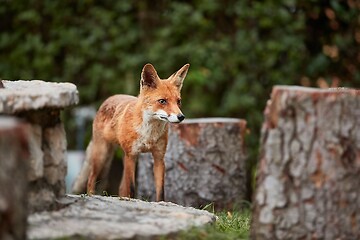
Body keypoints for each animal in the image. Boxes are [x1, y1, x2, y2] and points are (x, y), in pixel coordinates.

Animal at [71, 62, 190, 202]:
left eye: (178, 101)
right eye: (162, 101)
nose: (181, 117)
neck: (148, 134)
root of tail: (109, 98)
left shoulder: (159, 158)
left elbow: (160, 191)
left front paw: (161, 203)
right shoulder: (131, 155)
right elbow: (132, 188)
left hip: (120, 157)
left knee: (121, 188)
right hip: (102, 155)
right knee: (91, 179)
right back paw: (91, 196)